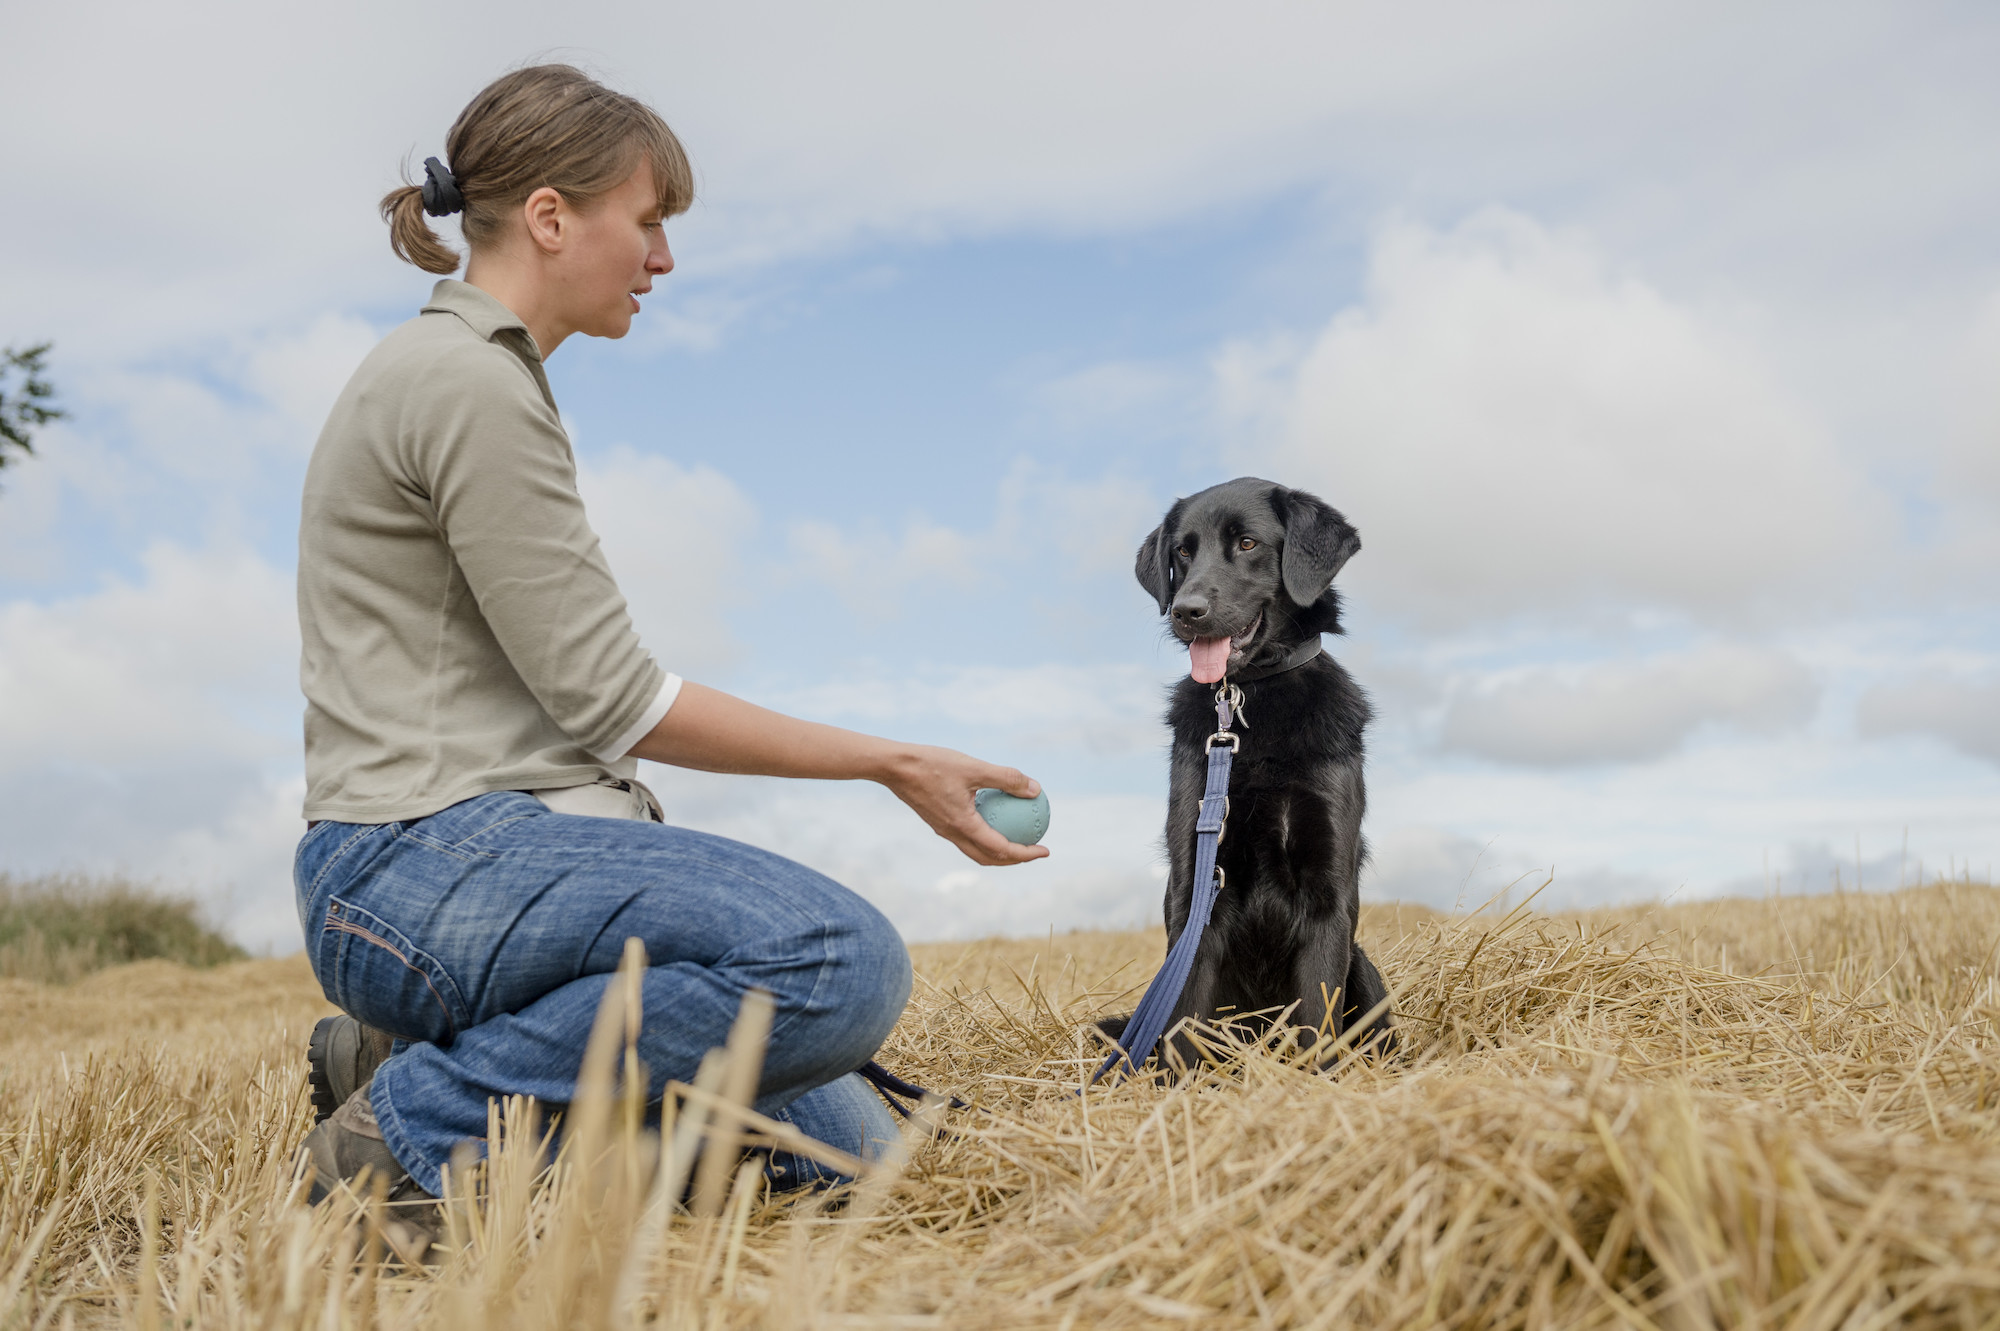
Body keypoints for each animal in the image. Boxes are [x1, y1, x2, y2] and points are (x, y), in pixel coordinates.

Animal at [1104, 477, 1400, 1071]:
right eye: (1183, 552)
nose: (1186, 611)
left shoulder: (1329, 894)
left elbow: (1319, 1024)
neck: (1255, 693)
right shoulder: (1193, 885)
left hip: (1365, 969)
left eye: (1247, 544)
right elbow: (1183, 1033)